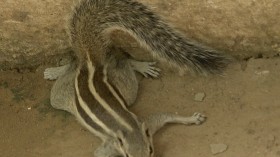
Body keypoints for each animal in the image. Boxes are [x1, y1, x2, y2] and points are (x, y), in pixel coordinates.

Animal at [43, 0, 228, 157]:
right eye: (127, 155)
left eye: (151, 150)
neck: (128, 127)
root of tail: (90, 63)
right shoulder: (109, 146)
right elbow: (99, 154)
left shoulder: (147, 124)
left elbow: (166, 116)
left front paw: (192, 118)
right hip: (63, 96)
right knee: (71, 70)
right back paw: (53, 71)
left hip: (124, 87)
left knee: (119, 61)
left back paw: (142, 66)